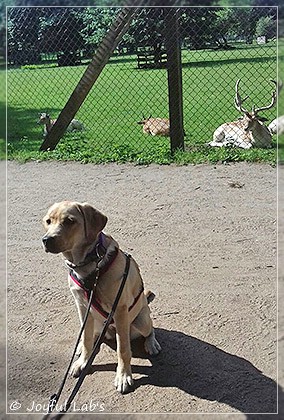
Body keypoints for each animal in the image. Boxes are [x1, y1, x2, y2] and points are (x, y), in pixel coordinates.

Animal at [42, 200, 162, 394]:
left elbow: (123, 349)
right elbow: (86, 339)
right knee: (91, 336)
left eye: (69, 221)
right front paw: (82, 361)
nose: (46, 240)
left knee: (150, 329)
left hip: (141, 321)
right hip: (96, 322)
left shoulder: (119, 309)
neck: (88, 265)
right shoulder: (83, 307)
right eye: (48, 221)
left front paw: (123, 376)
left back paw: (151, 343)